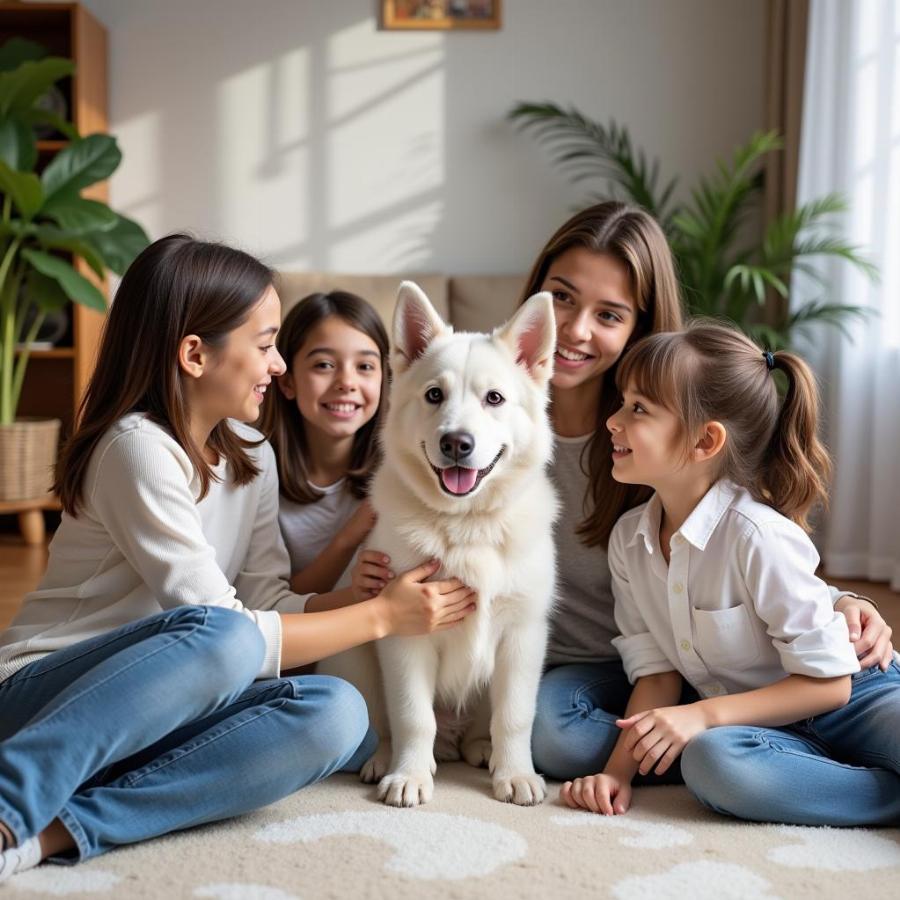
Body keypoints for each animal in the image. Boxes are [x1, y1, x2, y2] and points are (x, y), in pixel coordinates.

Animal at [320, 282, 552, 808]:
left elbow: (516, 716)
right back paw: (386, 759)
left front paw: (516, 773)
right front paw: (408, 775)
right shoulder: (405, 633)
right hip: (355, 658)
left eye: (494, 398)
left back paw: (481, 748)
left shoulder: (523, 635)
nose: (457, 443)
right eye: (434, 395)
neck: (467, 528)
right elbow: (412, 716)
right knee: (386, 723)